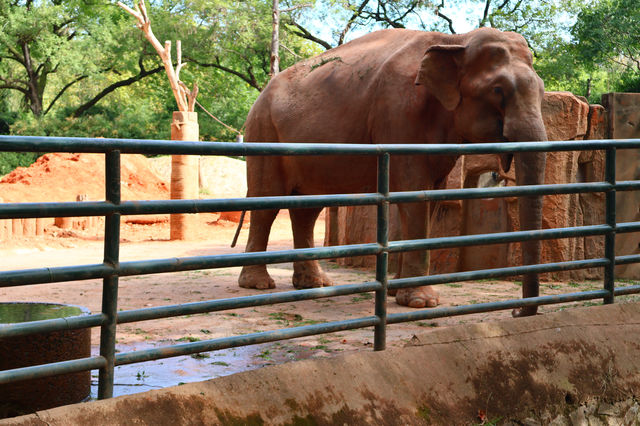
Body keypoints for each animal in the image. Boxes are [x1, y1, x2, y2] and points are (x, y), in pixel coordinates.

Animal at [238, 26, 548, 316]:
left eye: (542, 90)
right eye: (498, 90)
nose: (515, 310)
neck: (455, 40)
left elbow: (430, 197)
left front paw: (399, 292)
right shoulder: (398, 110)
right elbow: (413, 193)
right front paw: (422, 302)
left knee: (307, 210)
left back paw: (315, 284)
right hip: (264, 132)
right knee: (267, 201)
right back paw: (258, 285)